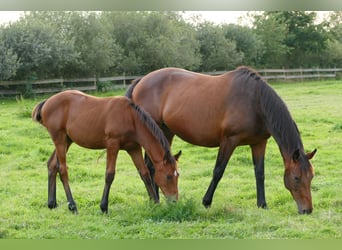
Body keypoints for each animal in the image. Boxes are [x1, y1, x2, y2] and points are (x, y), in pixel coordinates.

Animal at [32, 91, 182, 214]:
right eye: (169, 176)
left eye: (177, 175)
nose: (174, 200)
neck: (130, 118)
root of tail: (46, 102)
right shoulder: (112, 145)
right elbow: (110, 174)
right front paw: (104, 207)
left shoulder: (133, 148)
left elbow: (144, 174)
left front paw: (155, 202)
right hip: (60, 140)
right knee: (62, 169)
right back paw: (73, 206)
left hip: (67, 141)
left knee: (52, 164)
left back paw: (52, 203)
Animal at [126, 65, 318, 214]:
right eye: (296, 178)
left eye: (311, 177)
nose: (307, 210)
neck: (255, 101)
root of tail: (141, 80)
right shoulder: (229, 140)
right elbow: (218, 171)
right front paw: (206, 202)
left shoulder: (259, 143)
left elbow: (260, 173)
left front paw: (262, 204)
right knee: (151, 168)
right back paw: (156, 201)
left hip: (165, 132)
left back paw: (157, 200)